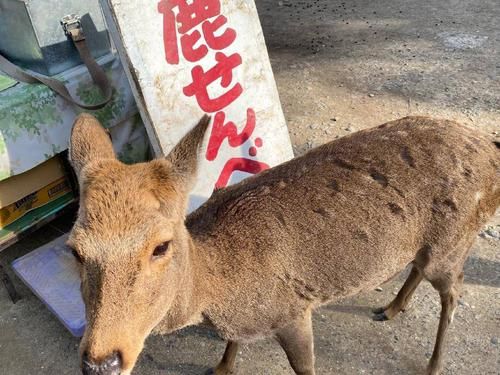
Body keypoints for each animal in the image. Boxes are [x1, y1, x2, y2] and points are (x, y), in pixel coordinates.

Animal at [67, 114, 500, 375]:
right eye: (74, 250)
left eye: (161, 245)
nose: (101, 362)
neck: (220, 293)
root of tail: (490, 147)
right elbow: (232, 347)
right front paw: (220, 368)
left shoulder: (293, 310)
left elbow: (304, 366)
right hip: (433, 247)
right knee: (419, 269)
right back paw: (390, 308)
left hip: (454, 240)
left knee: (454, 290)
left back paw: (434, 363)